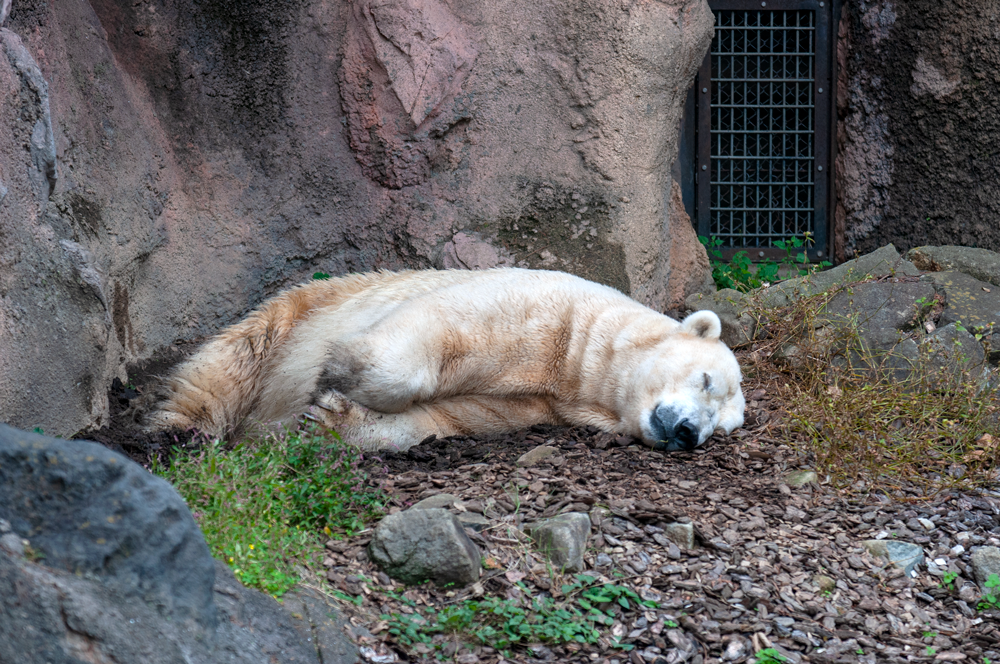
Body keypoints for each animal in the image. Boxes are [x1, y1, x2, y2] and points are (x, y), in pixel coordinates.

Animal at [148, 268, 744, 452]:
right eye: (706, 379)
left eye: (722, 427)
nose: (689, 433)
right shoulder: (546, 313)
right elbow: (438, 332)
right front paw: (337, 372)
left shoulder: (539, 406)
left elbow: (447, 418)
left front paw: (331, 420)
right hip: (302, 306)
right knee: (228, 362)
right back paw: (178, 430)